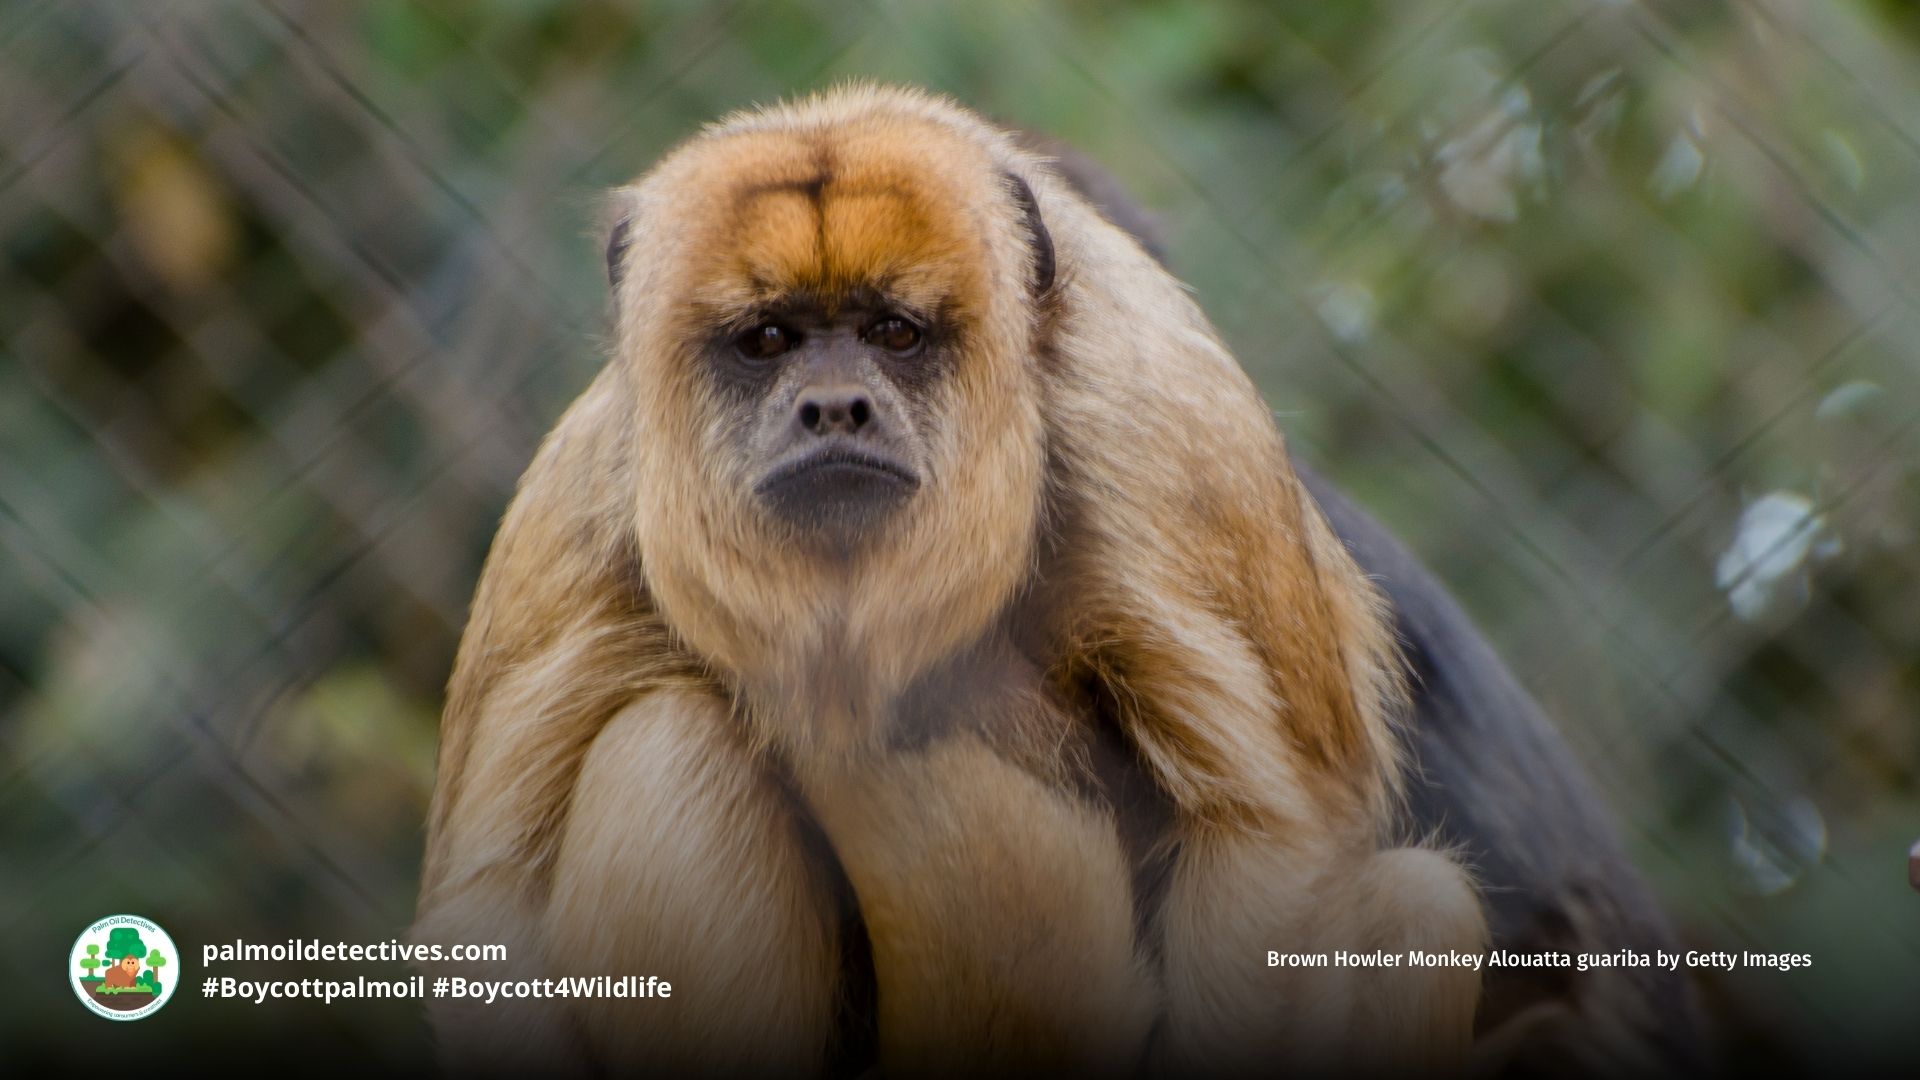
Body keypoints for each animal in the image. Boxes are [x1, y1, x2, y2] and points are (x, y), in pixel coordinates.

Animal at [411, 84, 1486, 1076]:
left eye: (895, 333)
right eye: (768, 340)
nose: (834, 409)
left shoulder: (1168, 436)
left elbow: (1272, 838)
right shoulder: (587, 503)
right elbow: (485, 916)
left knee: (1420, 905)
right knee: (666, 741)